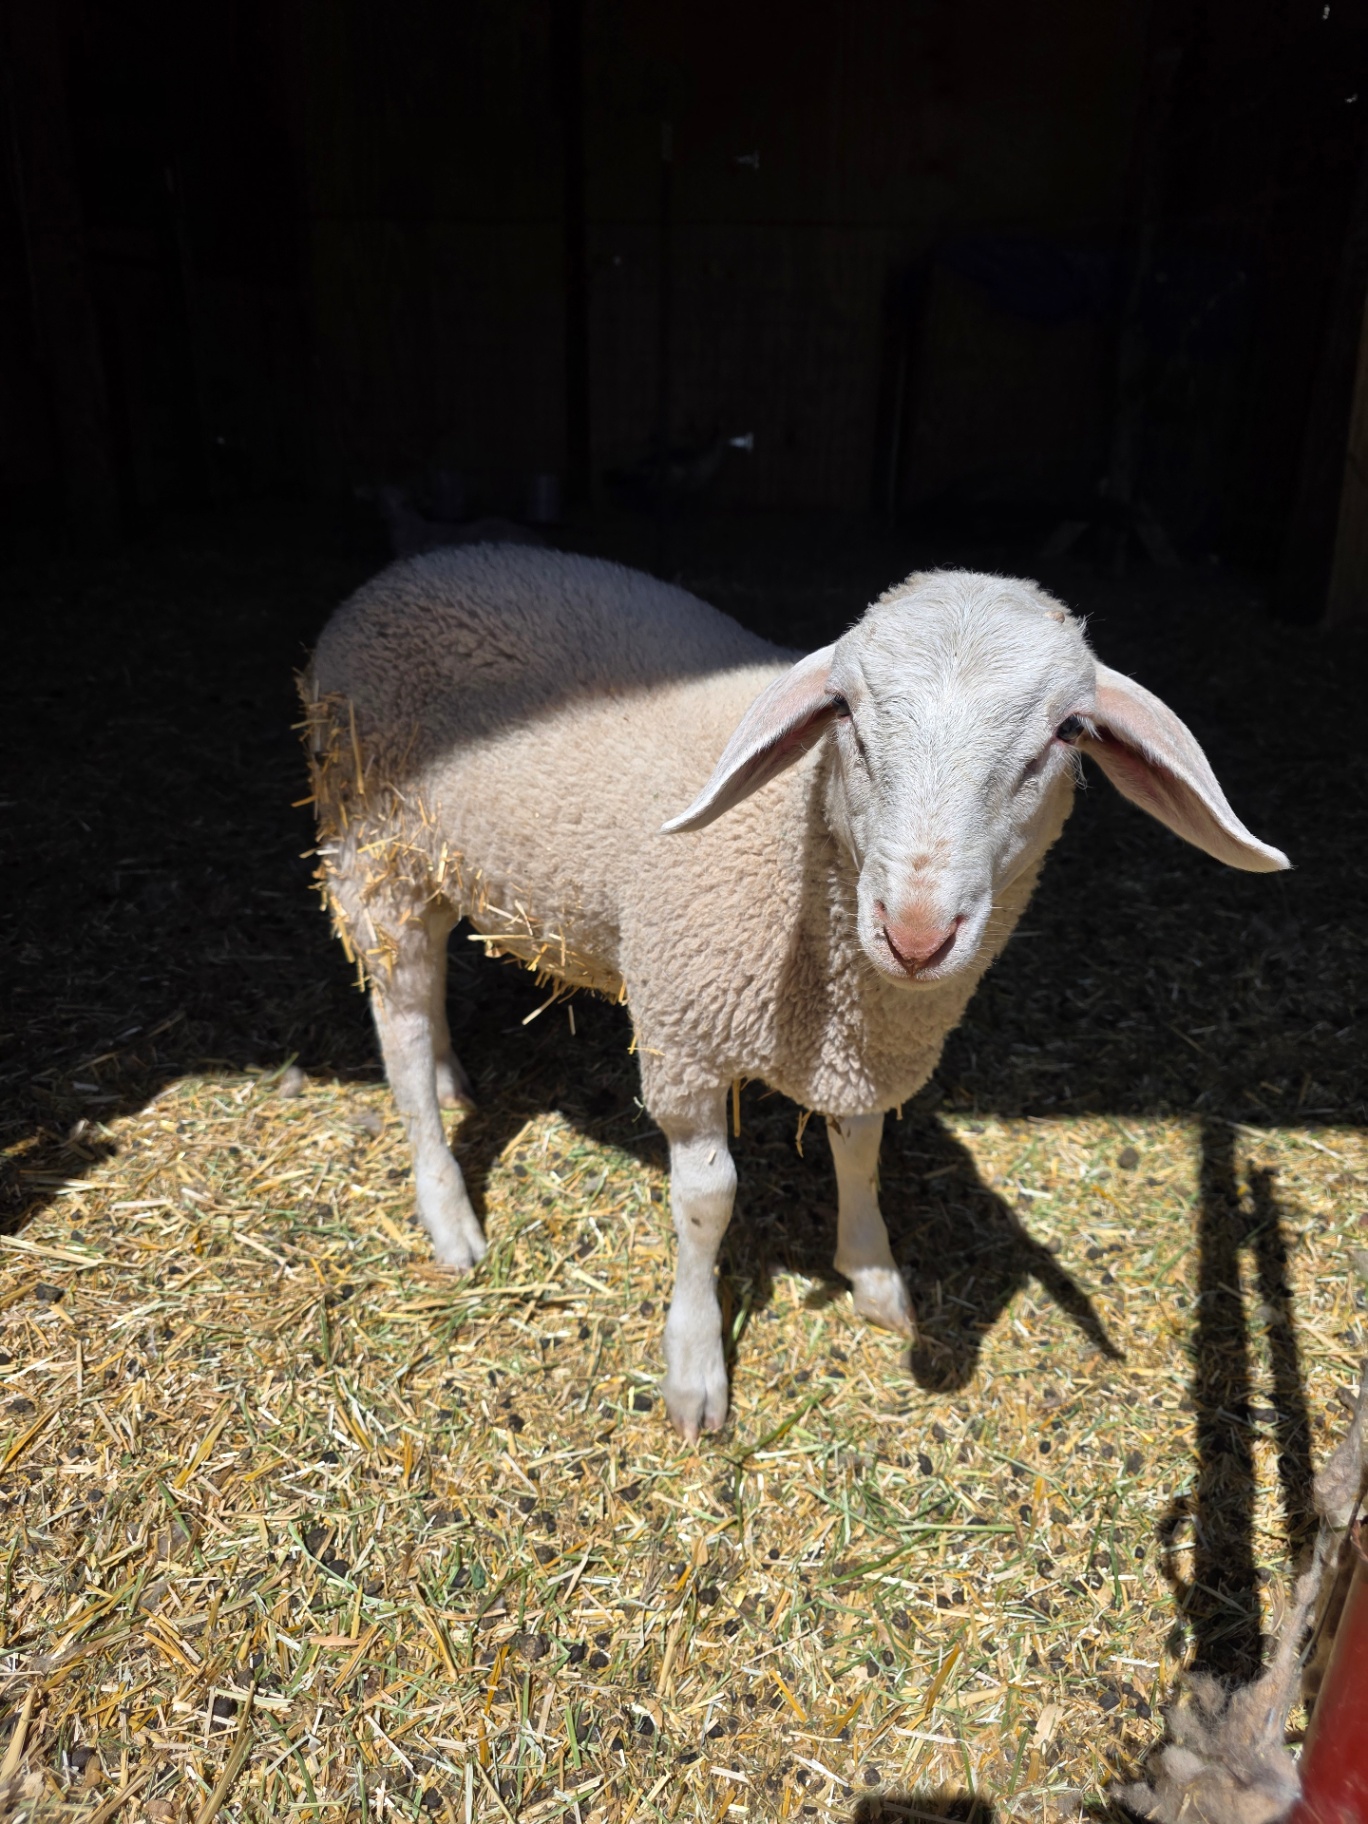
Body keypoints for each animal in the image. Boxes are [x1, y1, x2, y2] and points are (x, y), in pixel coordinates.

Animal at [301, 546, 1288, 1440]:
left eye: (1069, 731)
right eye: (844, 709)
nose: (915, 933)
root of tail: (418, 564)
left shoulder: (857, 1046)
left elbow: (861, 1149)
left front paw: (875, 1275)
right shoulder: (683, 1038)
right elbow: (707, 1202)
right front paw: (695, 1366)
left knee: (426, 1005)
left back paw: (453, 1079)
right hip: (374, 845)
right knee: (397, 1025)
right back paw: (447, 1210)